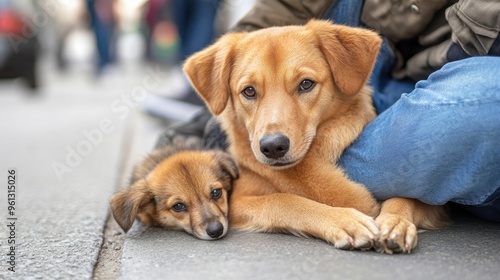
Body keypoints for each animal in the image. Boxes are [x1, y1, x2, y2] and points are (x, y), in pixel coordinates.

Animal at [183, 19, 446, 252]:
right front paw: (344, 221)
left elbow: (408, 197)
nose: (273, 146)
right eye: (249, 91)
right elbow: (285, 200)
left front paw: (395, 221)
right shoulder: (236, 200)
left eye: (306, 84)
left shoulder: (436, 205)